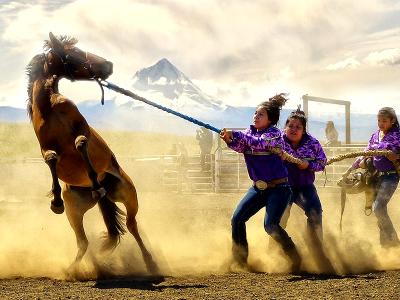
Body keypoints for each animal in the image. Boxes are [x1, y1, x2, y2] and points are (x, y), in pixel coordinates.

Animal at [25, 32, 158, 274]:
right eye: (74, 52)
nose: (108, 65)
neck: (49, 107)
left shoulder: (82, 131)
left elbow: (80, 144)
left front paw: (95, 184)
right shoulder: (45, 148)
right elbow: (51, 159)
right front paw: (55, 202)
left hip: (129, 194)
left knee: (132, 225)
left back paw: (150, 261)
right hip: (74, 210)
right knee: (83, 242)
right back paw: (72, 270)